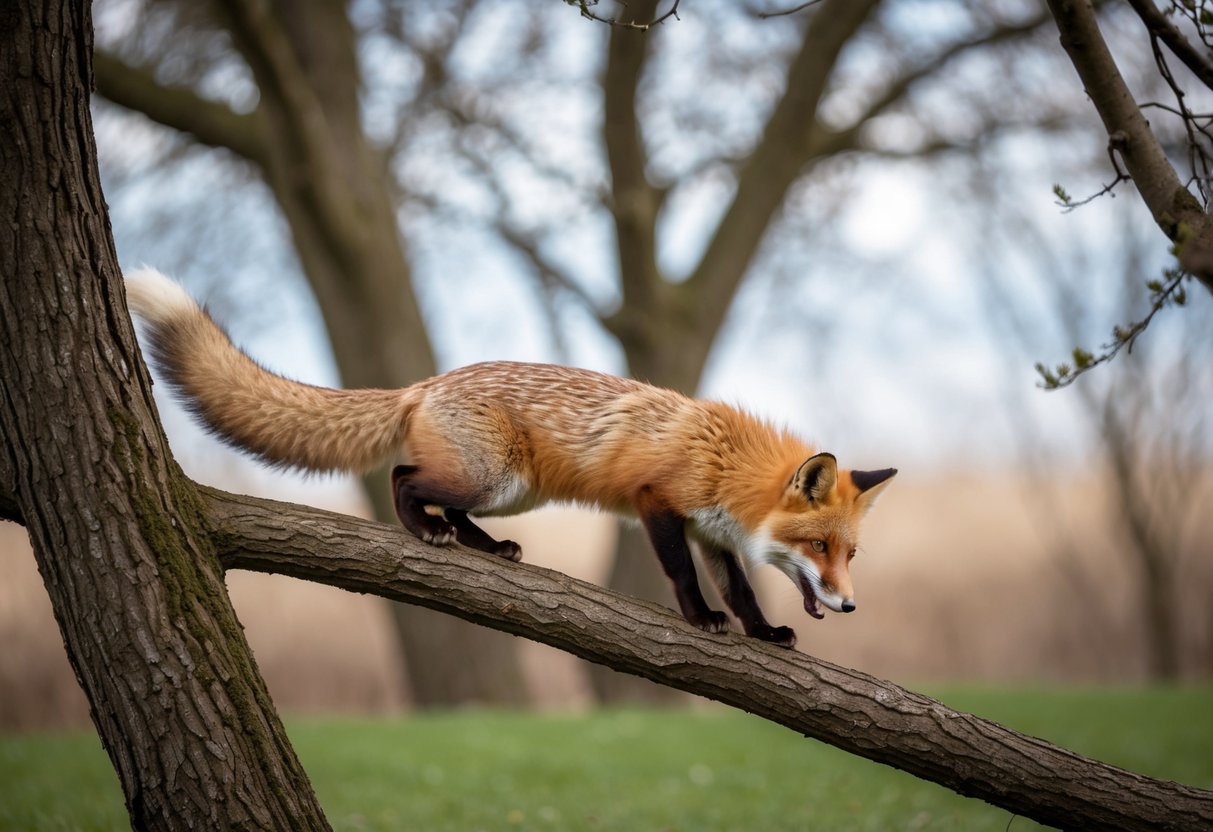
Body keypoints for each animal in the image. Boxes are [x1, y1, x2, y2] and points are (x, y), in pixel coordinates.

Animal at [124, 268, 896, 648]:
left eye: (849, 553)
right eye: (819, 546)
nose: (851, 604)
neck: (724, 462)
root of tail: (426, 383)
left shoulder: (713, 531)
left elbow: (741, 589)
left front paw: (761, 631)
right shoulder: (658, 503)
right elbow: (682, 575)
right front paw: (700, 620)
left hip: (512, 491)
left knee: (446, 503)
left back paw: (485, 548)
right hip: (493, 478)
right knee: (405, 478)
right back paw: (424, 531)